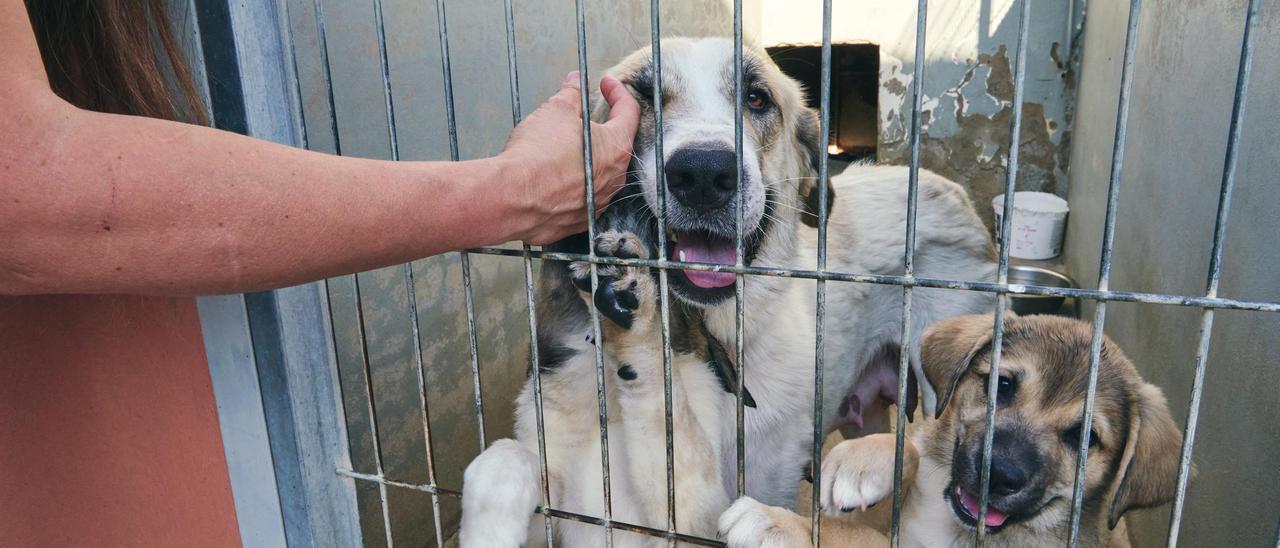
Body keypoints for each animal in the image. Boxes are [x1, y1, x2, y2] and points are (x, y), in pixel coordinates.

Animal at [727, 314, 1182, 548]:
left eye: (1086, 438)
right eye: (1002, 385)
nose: (998, 474)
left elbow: (855, 538)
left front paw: (776, 522)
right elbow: (907, 449)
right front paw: (860, 463)